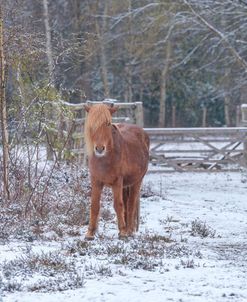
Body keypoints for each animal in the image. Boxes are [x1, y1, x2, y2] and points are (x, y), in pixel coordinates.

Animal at [84, 102, 150, 239]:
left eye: (108, 123)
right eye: (91, 124)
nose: (99, 148)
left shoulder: (117, 182)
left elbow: (118, 205)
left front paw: (123, 232)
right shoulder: (96, 181)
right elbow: (94, 205)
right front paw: (90, 233)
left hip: (136, 182)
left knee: (130, 204)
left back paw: (129, 230)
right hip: (125, 186)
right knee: (126, 203)